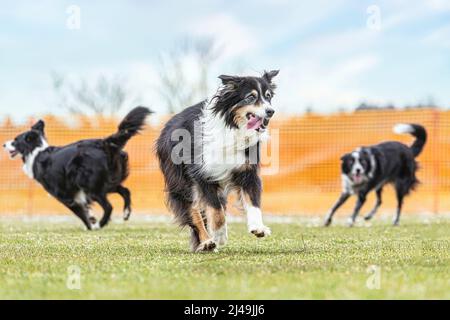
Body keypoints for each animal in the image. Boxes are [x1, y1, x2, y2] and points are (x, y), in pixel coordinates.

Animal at [3, 106, 152, 229]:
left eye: (15, 140)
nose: (4, 144)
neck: (36, 151)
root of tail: (103, 143)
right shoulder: (78, 193)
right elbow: (86, 209)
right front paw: (92, 219)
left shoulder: (64, 196)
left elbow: (80, 213)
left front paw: (90, 226)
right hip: (106, 182)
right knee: (125, 191)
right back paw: (125, 213)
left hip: (91, 186)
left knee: (109, 206)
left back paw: (100, 224)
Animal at [156, 70, 280, 252]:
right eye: (250, 97)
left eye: (268, 96)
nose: (271, 111)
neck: (233, 128)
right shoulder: (203, 174)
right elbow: (215, 209)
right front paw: (220, 235)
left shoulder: (248, 172)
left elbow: (253, 202)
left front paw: (258, 227)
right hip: (181, 182)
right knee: (194, 210)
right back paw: (207, 242)